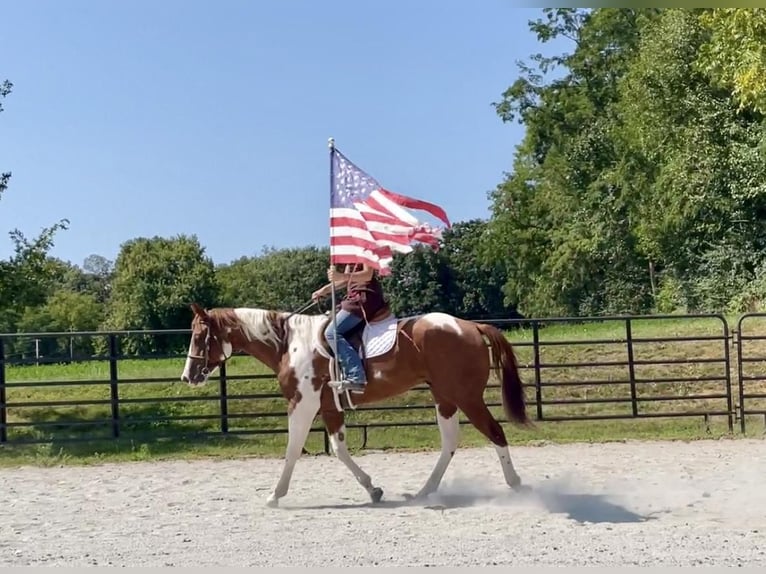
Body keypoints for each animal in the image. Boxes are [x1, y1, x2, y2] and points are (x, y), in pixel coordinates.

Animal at [181, 302, 536, 508]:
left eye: (199, 336)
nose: (187, 376)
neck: (288, 344)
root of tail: (470, 325)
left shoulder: (302, 404)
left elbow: (293, 450)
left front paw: (274, 495)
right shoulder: (329, 408)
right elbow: (339, 450)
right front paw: (372, 489)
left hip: (466, 397)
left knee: (495, 432)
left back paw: (516, 485)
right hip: (445, 397)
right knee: (450, 442)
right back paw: (424, 491)